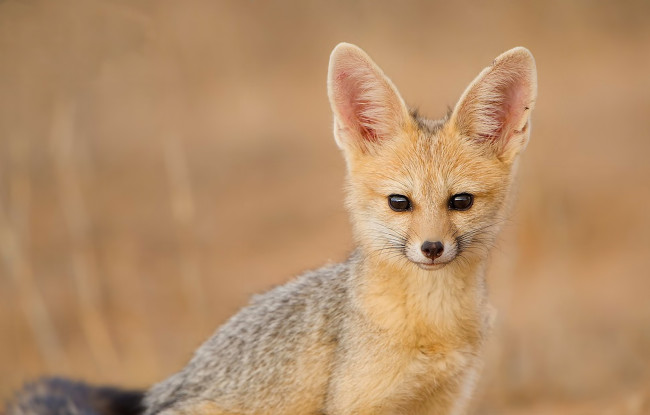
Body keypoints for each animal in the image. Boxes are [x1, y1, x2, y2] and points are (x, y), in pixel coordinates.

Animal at [6, 43, 536, 415]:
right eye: (399, 203)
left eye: (460, 202)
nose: (431, 248)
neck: (431, 324)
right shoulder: (357, 403)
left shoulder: (444, 400)